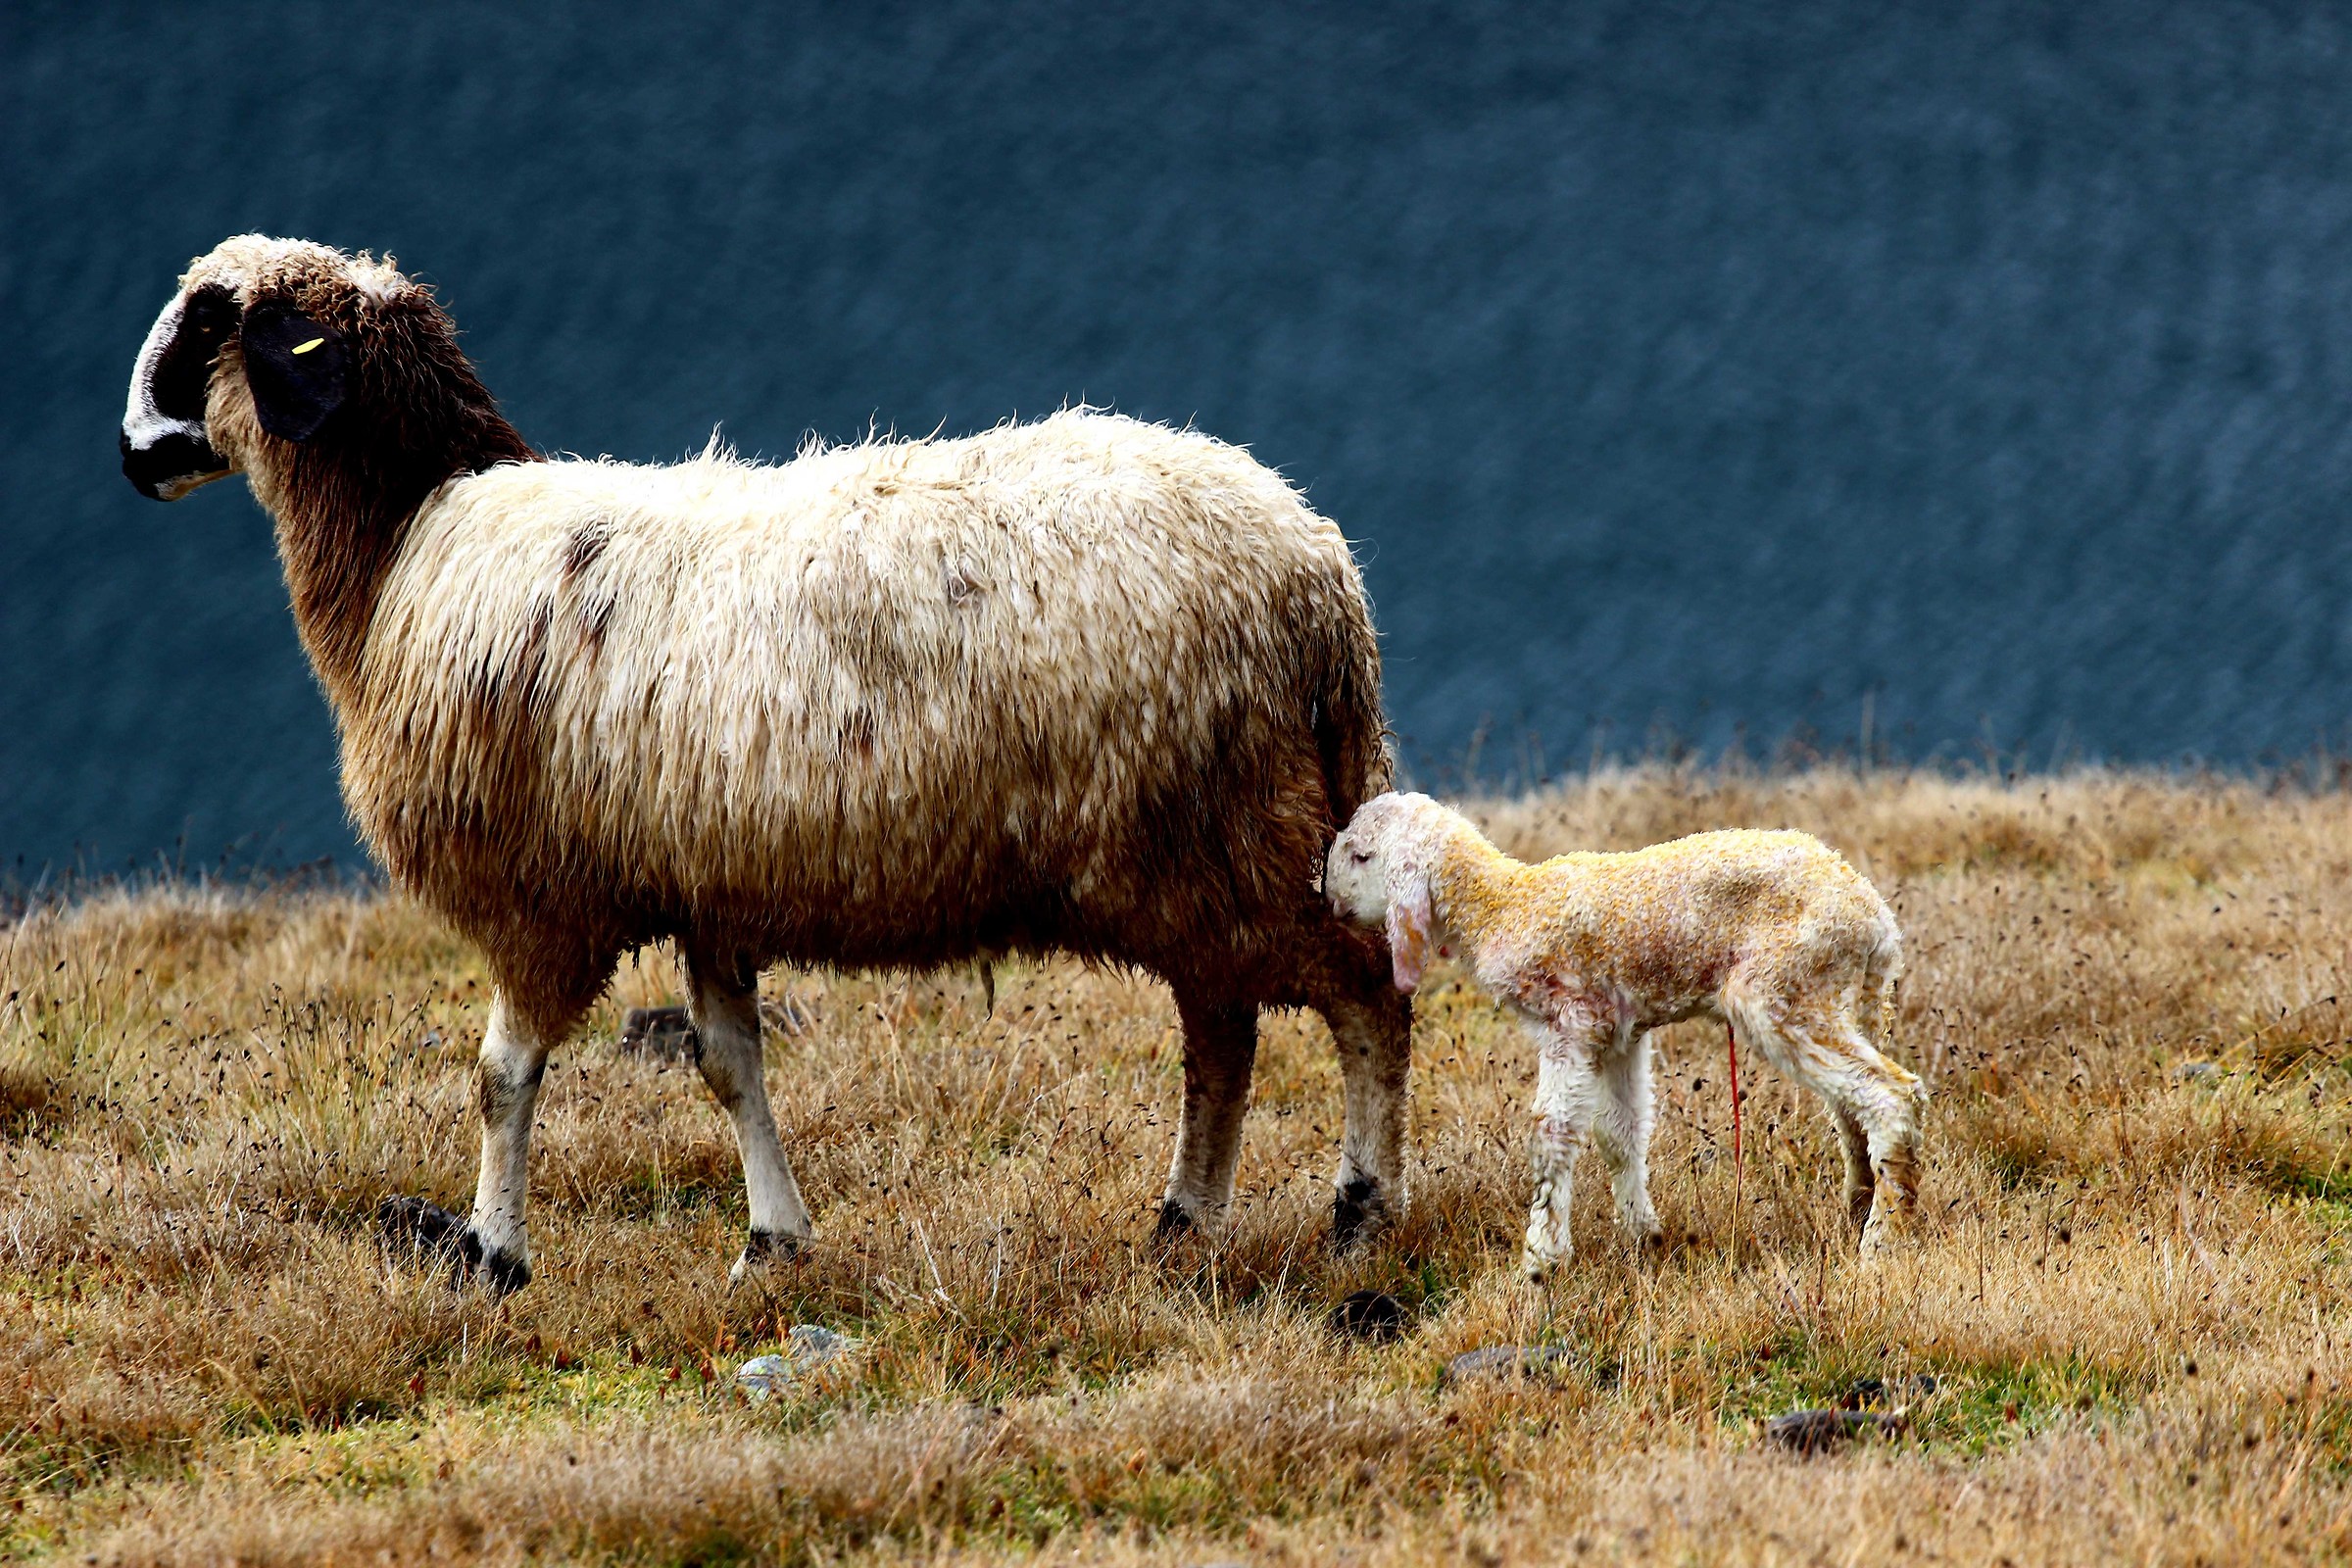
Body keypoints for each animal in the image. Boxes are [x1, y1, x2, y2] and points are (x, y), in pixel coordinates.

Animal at [120, 234, 1412, 1292]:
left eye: (203, 325)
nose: (131, 459)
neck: (410, 541)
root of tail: (1318, 578)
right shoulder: (705, 891)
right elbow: (728, 1066)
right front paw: (772, 1241)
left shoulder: (545, 896)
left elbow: (500, 1074)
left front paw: (492, 1255)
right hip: (1208, 844)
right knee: (1225, 1030)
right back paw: (1184, 1222)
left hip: (1221, 829)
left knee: (1360, 991)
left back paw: (1360, 1213)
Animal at [1323, 792, 1922, 1280]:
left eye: (1361, 856)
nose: (1329, 901)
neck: (1504, 907)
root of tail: (1876, 919)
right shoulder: (1619, 1032)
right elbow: (1619, 1133)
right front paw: (1642, 1237)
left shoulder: (1571, 1021)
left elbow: (1552, 1133)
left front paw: (1541, 1259)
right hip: (1845, 998)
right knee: (1852, 1109)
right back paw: (1858, 1209)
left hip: (1780, 989)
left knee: (1891, 1095)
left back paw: (1881, 1241)